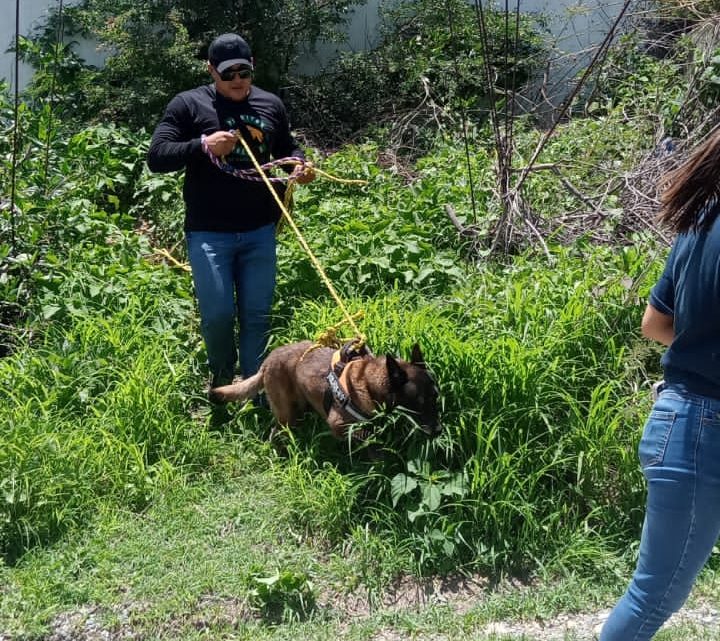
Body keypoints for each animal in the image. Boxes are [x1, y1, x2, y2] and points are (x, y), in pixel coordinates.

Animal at [207, 340, 438, 440]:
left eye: (435, 397)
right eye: (419, 402)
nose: (439, 431)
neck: (368, 382)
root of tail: (266, 363)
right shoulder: (339, 425)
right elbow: (366, 440)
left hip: (298, 408)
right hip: (286, 414)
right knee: (276, 431)